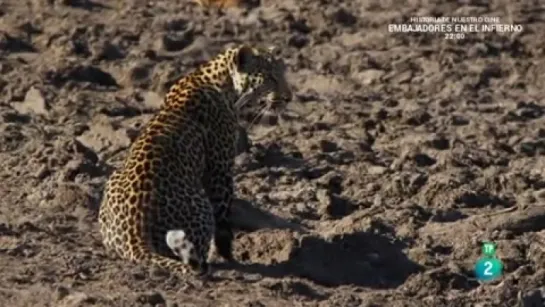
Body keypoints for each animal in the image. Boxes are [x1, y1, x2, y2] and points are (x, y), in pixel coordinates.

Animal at [98, 44, 294, 278]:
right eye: (271, 77)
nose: (289, 98)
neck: (222, 81)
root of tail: (135, 236)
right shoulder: (220, 169)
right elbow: (223, 220)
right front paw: (228, 258)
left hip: (113, 180)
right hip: (200, 204)